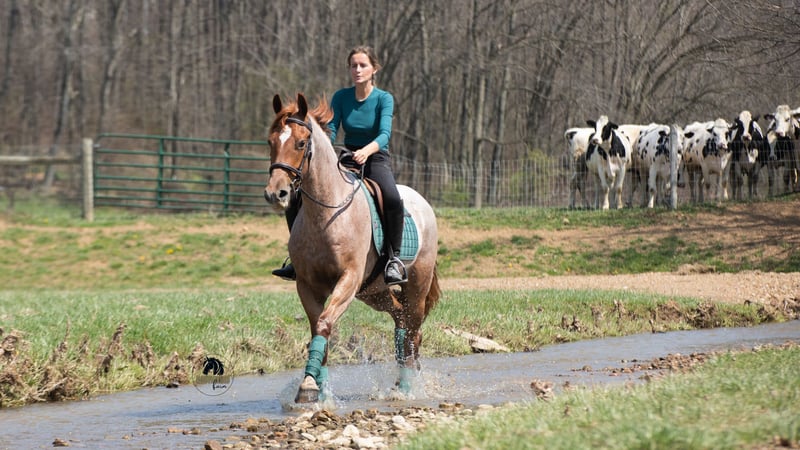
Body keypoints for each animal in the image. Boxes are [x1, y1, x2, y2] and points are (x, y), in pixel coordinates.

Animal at [263, 93, 441, 404]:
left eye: (301, 143)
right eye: (271, 142)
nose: (277, 193)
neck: (326, 213)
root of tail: (422, 202)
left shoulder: (347, 280)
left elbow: (324, 324)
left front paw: (309, 385)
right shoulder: (307, 285)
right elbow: (318, 329)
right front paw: (317, 387)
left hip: (416, 286)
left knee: (413, 328)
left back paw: (407, 386)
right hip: (373, 292)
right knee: (400, 318)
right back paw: (400, 380)